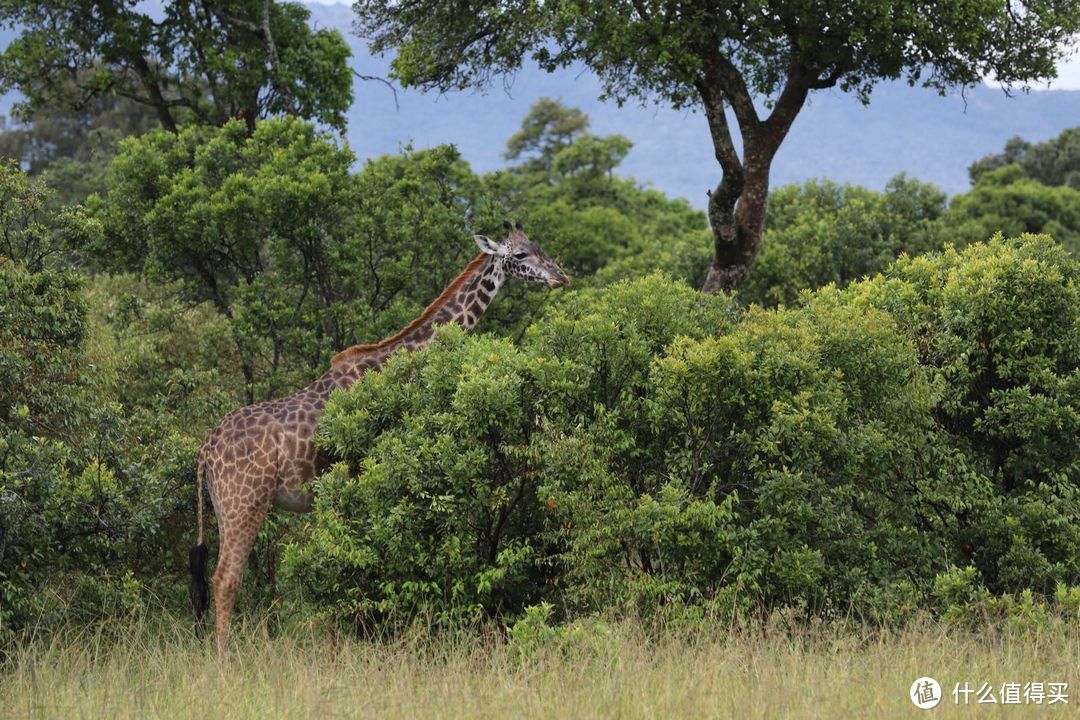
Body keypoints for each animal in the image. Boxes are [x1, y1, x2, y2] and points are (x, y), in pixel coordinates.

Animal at [190, 221, 570, 651]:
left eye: (538, 245)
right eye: (520, 255)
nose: (561, 276)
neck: (396, 364)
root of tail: (205, 450)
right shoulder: (367, 472)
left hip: (223, 507)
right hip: (246, 502)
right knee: (225, 578)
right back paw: (225, 657)